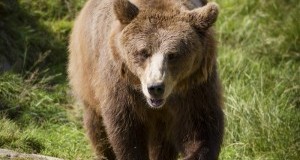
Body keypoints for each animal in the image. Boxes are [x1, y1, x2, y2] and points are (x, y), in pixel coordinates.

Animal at [68, 0, 223, 159]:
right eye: (143, 52)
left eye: (172, 55)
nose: (155, 87)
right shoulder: (122, 86)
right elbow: (127, 133)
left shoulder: (195, 87)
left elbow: (200, 128)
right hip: (87, 73)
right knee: (96, 126)